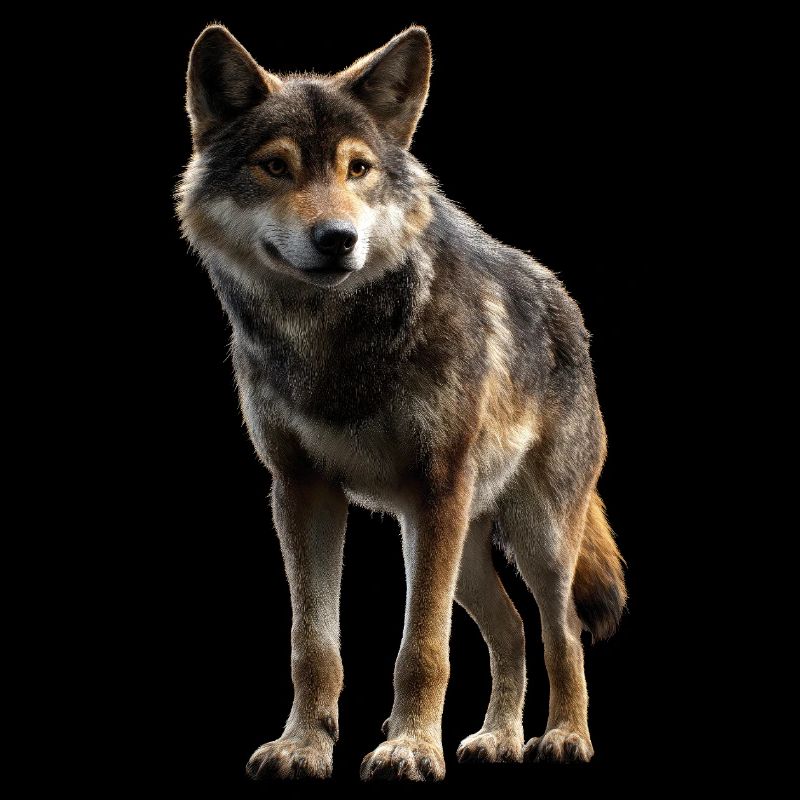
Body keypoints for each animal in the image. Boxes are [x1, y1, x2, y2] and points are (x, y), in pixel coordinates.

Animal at [177, 24, 626, 782]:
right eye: (276, 168)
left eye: (358, 169)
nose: (338, 239)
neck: (331, 340)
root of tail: (566, 304)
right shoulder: (301, 490)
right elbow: (312, 647)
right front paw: (304, 746)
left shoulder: (436, 489)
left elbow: (421, 649)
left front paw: (410, 748)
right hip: (459, 547)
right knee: (511, 630)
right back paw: (499, 739)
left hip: (527, 537)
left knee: (560, 630)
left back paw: (565, 737)